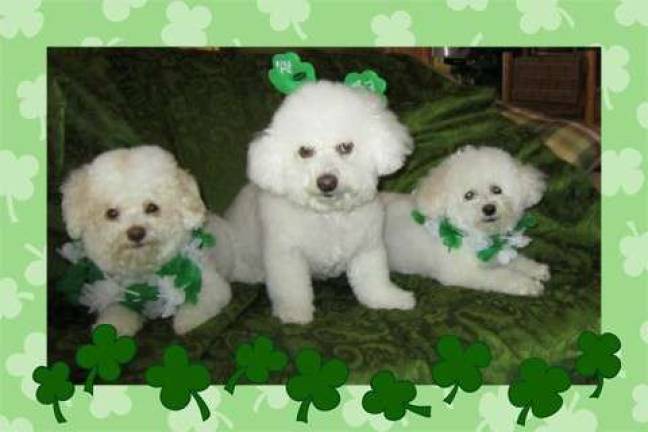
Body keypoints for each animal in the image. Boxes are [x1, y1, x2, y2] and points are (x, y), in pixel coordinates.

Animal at [219, 81, 416, 324]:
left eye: (345, 147)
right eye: (305, 151)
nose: (327, 182)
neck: (329, 215)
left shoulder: (367, 249)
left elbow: (373, 280)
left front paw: (388, 299)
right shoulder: (286, 257)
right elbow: (292, 288)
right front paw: (294, 313)